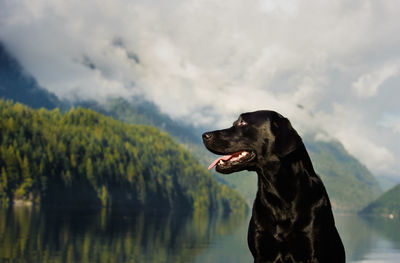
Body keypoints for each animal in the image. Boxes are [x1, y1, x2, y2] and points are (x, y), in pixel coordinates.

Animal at [202, 111, 346, 263]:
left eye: (243, 122)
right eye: (235, 122)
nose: (204, 135)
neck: (281, 196)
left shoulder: (313, 253)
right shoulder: (261, 253)